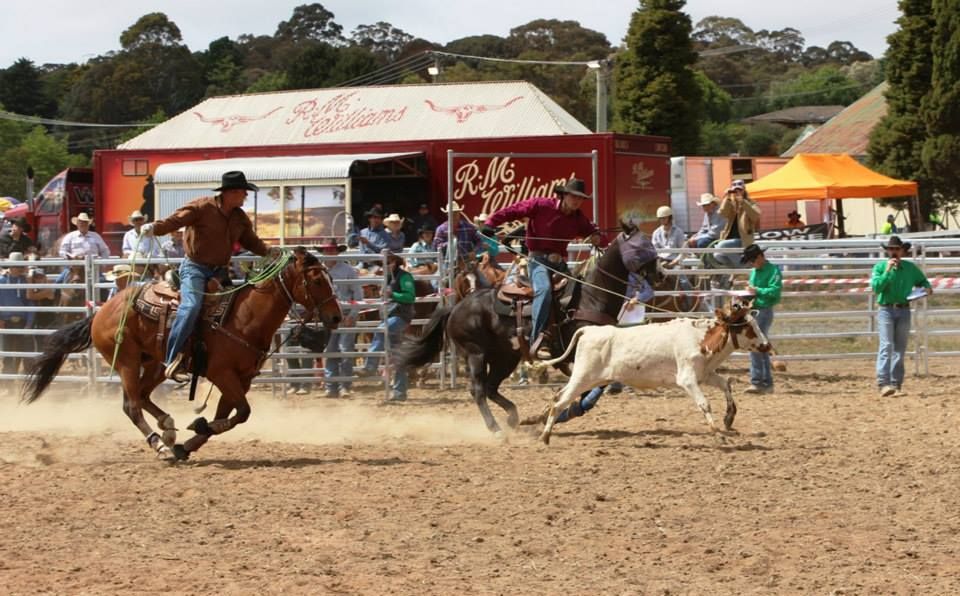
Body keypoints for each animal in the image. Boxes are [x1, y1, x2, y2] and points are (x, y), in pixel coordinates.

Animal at [20, 247, 344, 460]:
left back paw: (168, 429)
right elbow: (242, 413)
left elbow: (231, 415)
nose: (336, 317)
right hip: (126, 360)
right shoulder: (221, 373)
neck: (244, 318)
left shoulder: (242, 378)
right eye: (317, 280)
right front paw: (193, 430)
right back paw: (160, 444)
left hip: (154, 363)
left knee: (143, 396)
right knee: (131, 405)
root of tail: (100, 312)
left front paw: (188, 444)